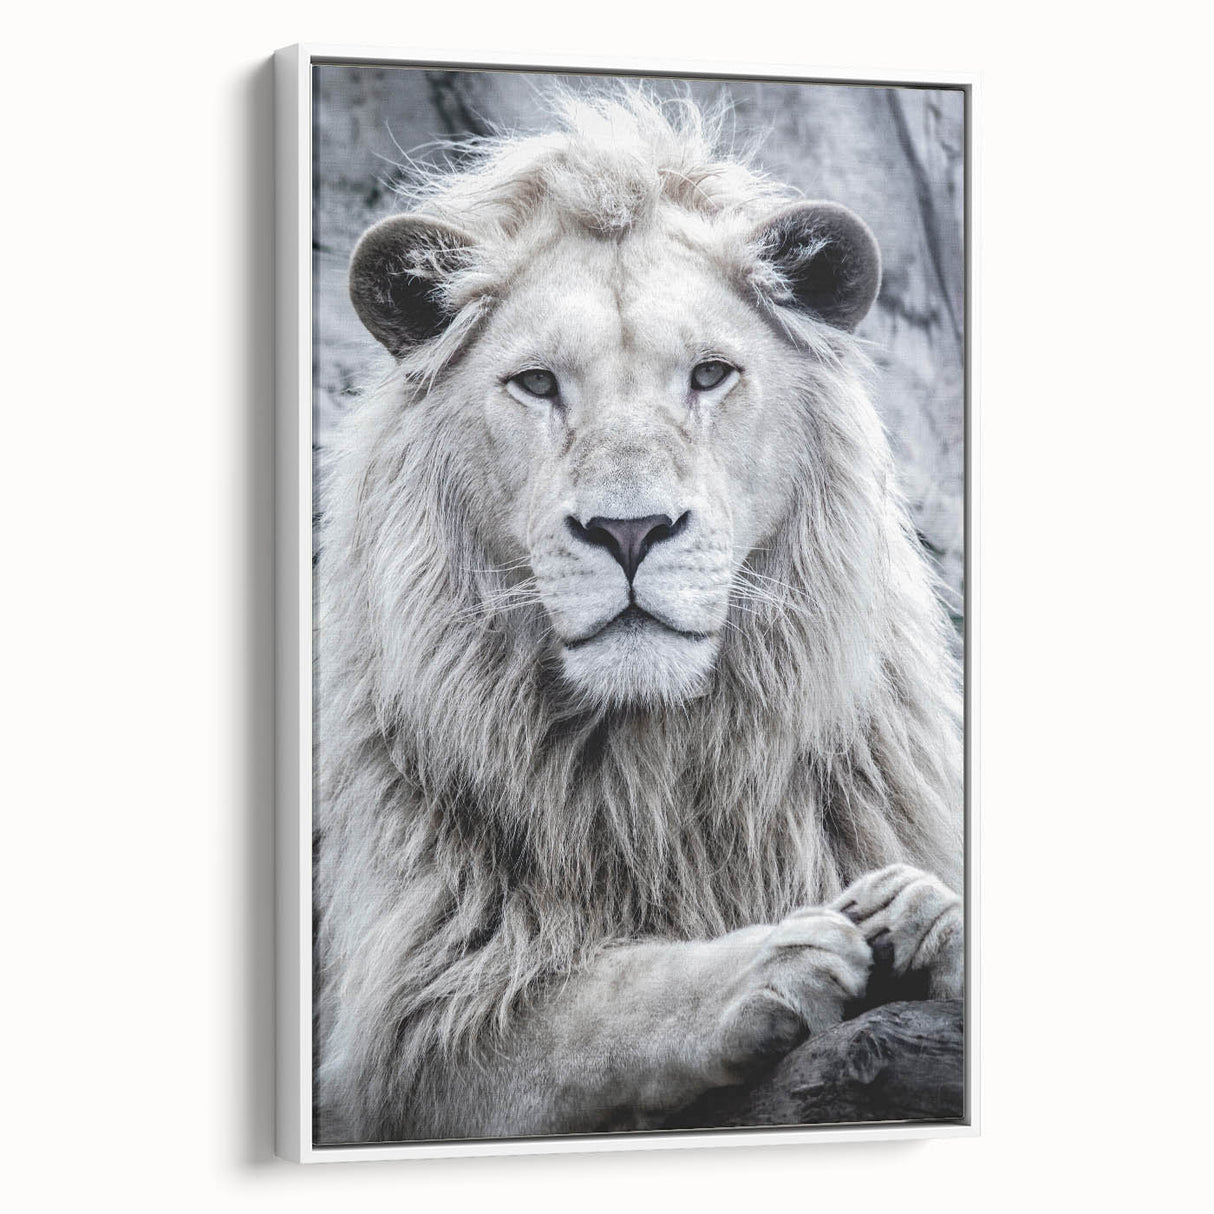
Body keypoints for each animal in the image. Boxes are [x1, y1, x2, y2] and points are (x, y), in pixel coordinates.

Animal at [314, 91, 964, 1145]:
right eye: (537, 383)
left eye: (709, 375)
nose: (629, 531)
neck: (654, 768)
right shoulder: (413, 1027)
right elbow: (594, 1003)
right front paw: (773, 961)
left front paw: (927, 913)